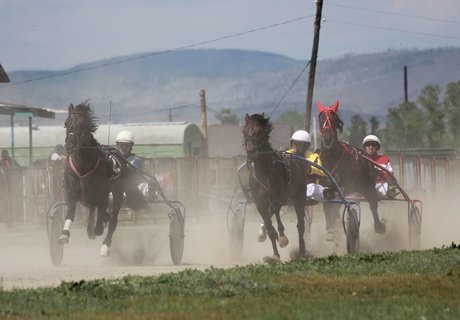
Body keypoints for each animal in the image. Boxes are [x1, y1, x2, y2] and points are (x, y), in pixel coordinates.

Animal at [58, 102, 126, 258]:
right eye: (66, 124)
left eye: (82, 125)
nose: (70, 146)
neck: (83, 166)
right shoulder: (72, 194)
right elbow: (70, 213)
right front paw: (64, 235)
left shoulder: (102, 195)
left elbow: (101, 223)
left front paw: (99, 229)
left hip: (118, 195)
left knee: (112, 220)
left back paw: (105, 246)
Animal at [243, 114, 308, 262]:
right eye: (244, 131)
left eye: (259, 132)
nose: (251, 152)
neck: (265, 171)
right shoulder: (259, 202)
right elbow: (269, 225)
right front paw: (274, 255)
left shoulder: (280, 196)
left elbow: (274, 208)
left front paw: (282, 237)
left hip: (299, 196)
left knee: (300, 225)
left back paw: (301, 253)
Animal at [316, 101, 384, 236]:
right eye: (320, 120)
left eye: (334, 120)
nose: (327, 138)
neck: (332, 160)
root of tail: (365, 158)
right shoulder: (326, 187)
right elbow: (327, 206)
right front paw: (330, 229)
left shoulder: (343, 187)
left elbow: (335, 205)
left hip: (366, 186)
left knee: (373, 203)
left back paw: (379, 226)